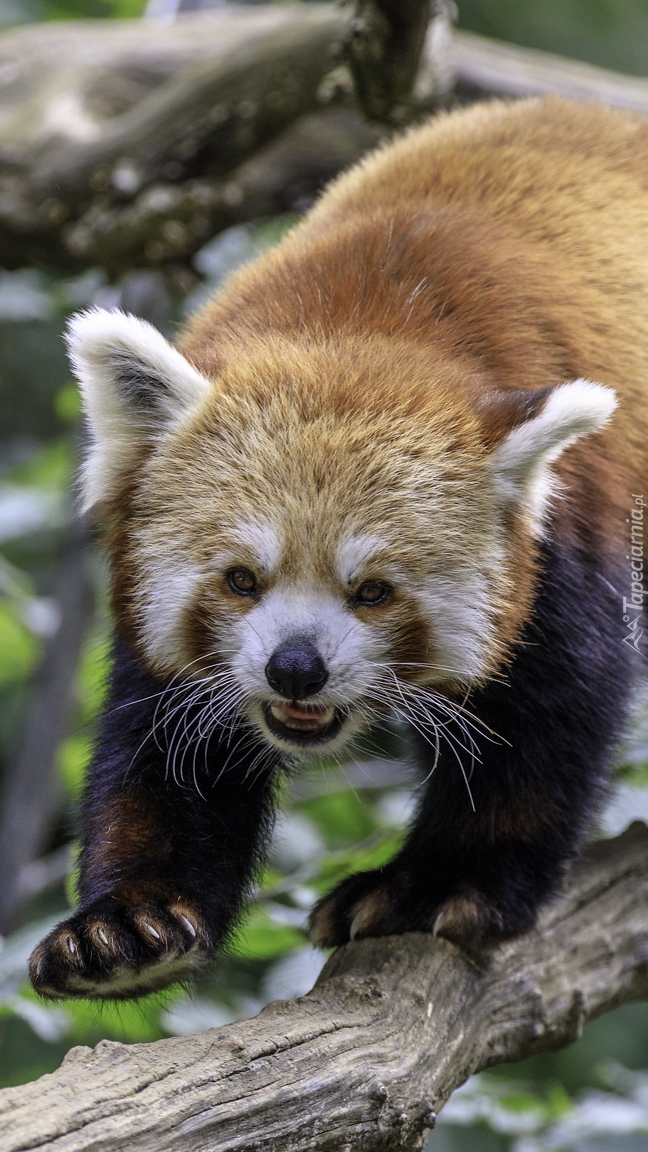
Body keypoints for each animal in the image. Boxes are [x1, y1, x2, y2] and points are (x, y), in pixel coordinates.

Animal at [28, 99, 645, 999]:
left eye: (374, 591)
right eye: (241, 579)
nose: (295, 668)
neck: (368, 317)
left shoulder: (574, 533)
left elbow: (549, 717)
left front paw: (436, 884)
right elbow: (165, 750)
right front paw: (125, 926)